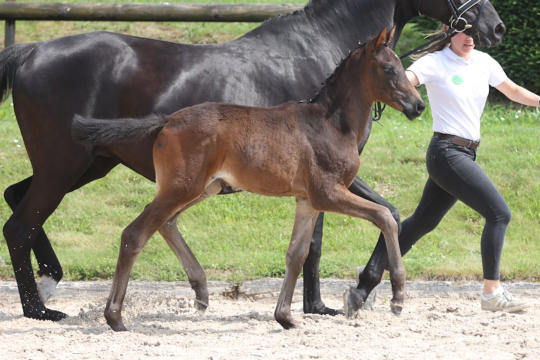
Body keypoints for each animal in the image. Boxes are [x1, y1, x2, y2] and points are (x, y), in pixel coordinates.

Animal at [73, 27, 426, 332]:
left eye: (400, 67)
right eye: (389, 68)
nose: (418, 105)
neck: (331, 124)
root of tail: (167, 121)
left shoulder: (307, 200)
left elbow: (296, 254)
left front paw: (285, 317)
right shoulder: (327, 192)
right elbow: (385, 216)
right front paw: (398, 298)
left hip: (202, 187)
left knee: (164, 222)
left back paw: (200, 292)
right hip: (183, 187)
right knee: (135, 234)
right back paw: (115, 317)